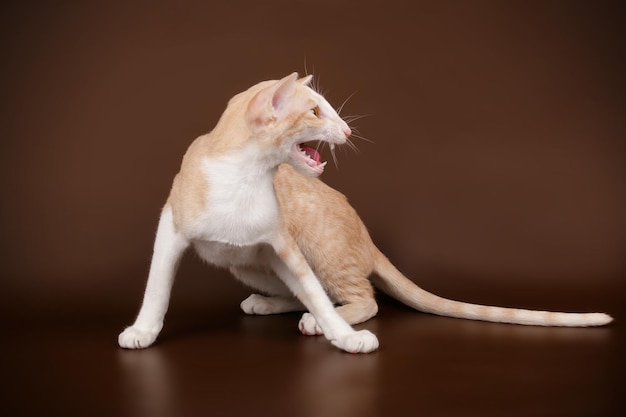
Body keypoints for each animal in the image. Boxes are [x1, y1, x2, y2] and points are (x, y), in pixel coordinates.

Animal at [117, 73, 608, 352]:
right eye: (316, 111)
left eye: (329, 109)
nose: (348, 130)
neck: (245, 174)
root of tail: (368, 240)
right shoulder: (171, 227)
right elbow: (157, 289)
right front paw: (143, 331)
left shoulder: (283, 243)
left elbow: (319, 296)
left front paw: (345, 337)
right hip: (247, 263)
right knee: (307, 291)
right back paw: (270, 303)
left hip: (315, 251)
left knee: (358, 298)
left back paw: (316, 322)